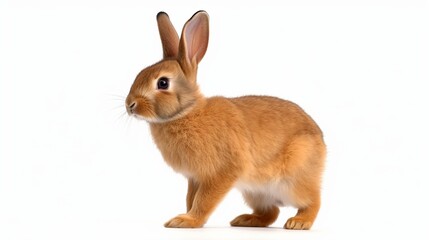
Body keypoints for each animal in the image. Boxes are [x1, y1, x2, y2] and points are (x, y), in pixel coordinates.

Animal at [125, 10, 326, 230]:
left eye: (162, 83)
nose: (130, 105)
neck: (186, 113)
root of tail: (321, 140)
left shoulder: (222, 172)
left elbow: (204, 200)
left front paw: (185, 220)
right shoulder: (194, 178)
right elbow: (191, 198)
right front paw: (185, 218)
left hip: (294, 181)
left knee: (314, 201)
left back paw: (299, 222)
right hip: (254, 192)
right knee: (271, 212)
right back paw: (246, 220)